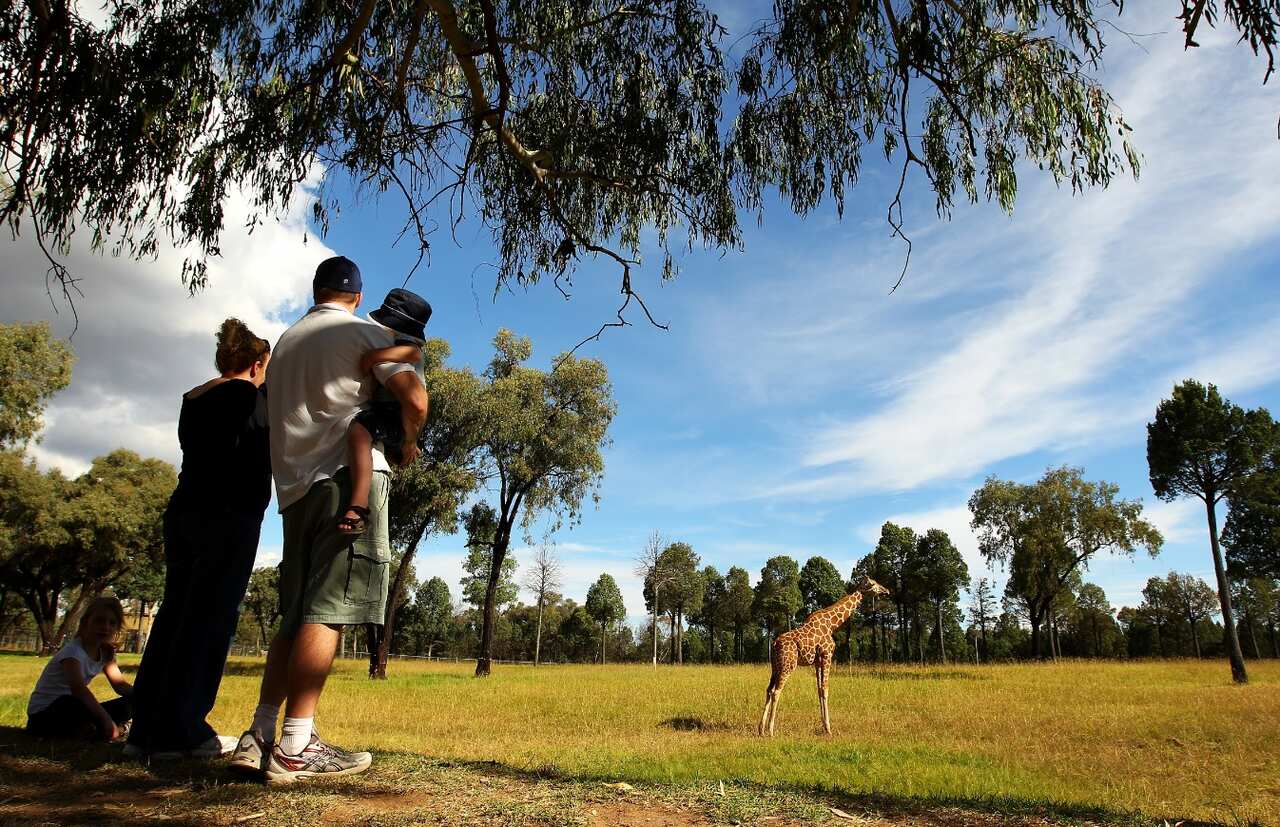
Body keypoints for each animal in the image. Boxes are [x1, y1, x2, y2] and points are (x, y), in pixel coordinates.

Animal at [758, 574, 890, 736]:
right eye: (874, 584)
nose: (886, 590)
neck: (832, 624)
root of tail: (775, 644)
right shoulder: (827, 655)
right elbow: (826, 689)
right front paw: (829, 728)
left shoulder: (817, 661)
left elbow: (819, 689)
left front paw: (823, 726)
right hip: (788, 665)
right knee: (776, 691)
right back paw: (770, 730)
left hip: (775, 666)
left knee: (769, 690)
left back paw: (761, 729)